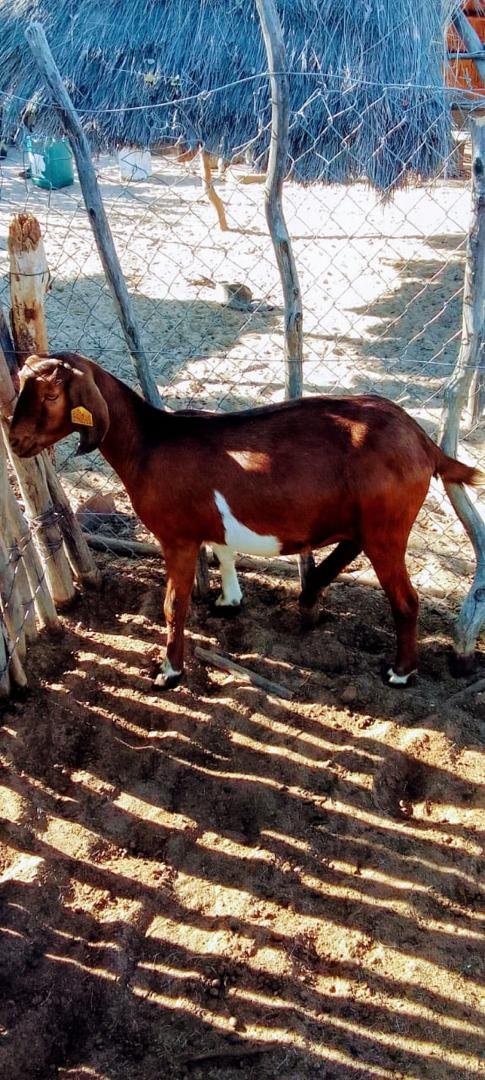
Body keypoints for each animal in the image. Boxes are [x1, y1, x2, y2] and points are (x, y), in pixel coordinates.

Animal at [9, 352, 482, 690]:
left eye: (50, 396)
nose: (14, 440)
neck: (150, 442)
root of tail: (422, 441)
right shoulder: (208, 526)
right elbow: (224, 551)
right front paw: (229, 601)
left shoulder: (176, 537)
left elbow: (173, 604)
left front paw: (169, 672)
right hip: (371, 519)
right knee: (351, 544)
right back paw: (310, 594)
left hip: (388, 524)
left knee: (406, 600)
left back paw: (400, 672)